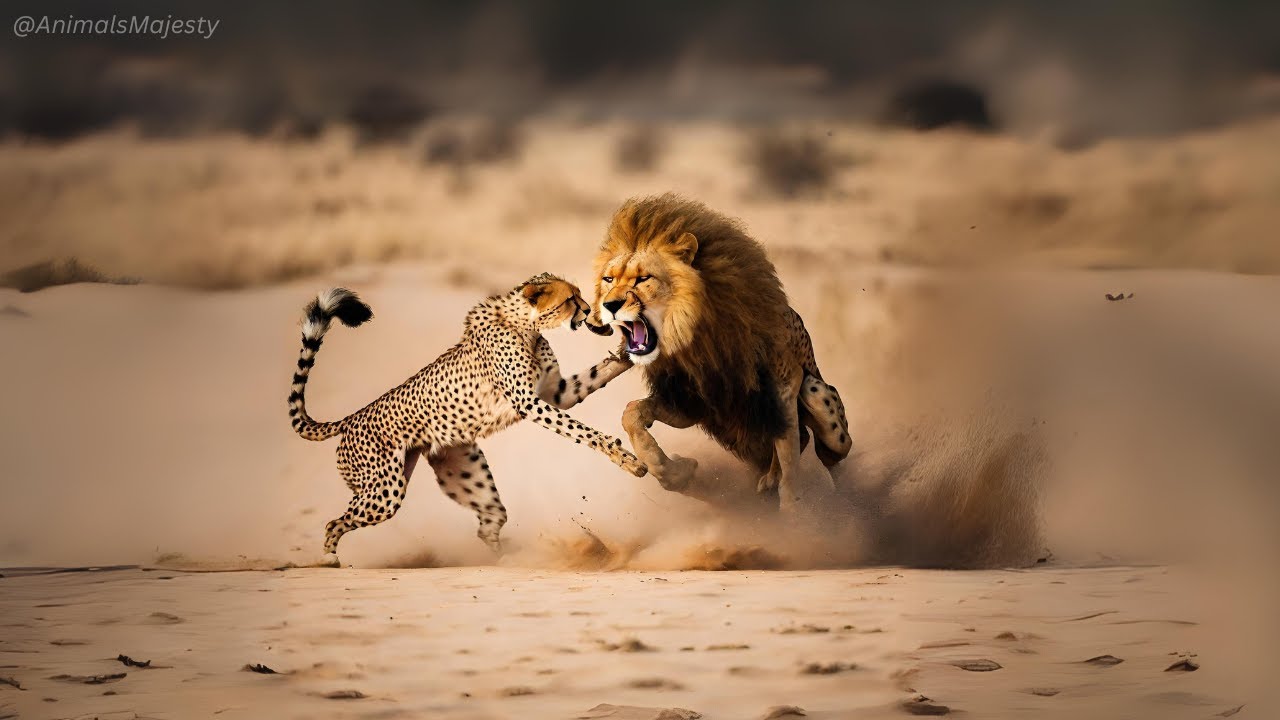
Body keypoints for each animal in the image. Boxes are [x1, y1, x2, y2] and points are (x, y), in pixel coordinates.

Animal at [585, 193, 853, 510]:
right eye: (609, 280)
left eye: (643, 279)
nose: (609, 305)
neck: (692, 341)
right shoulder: (692, 404)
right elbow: (632, 413)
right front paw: (674, 474)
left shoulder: (783, 383)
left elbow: (787, 452)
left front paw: (793, 509)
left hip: (817, 394)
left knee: (821, 448)